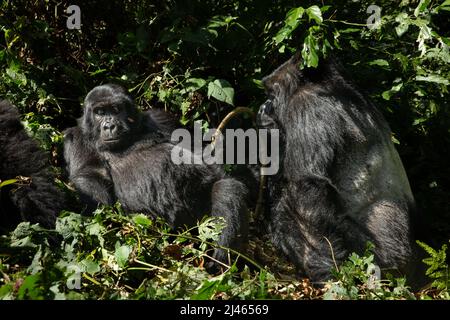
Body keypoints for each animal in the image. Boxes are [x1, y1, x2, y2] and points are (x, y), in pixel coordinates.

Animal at [64, 83, 251, 264]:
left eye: (116, 110)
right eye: (100, 112)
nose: (109, 125)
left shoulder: (161, 118)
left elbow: (197, 153)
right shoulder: (75, 137)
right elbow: (91, 180)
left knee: (226, 188)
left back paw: (222, 260)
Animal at [255, 54, 424, 284]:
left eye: (271, 94)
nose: (262, 107)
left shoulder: (306, 106)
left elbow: (306, 189)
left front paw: (325, 272)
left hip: (384, 258)